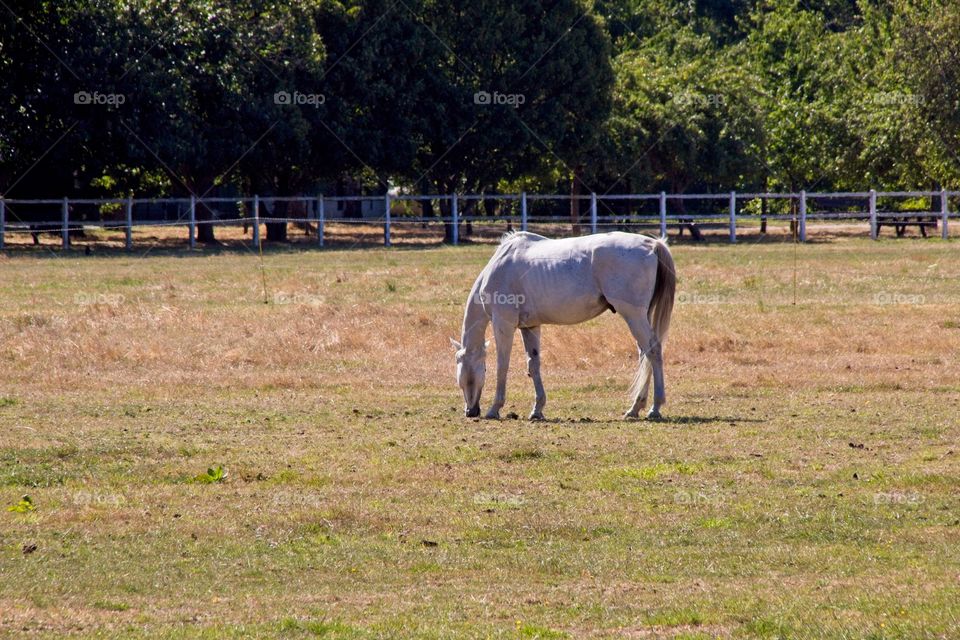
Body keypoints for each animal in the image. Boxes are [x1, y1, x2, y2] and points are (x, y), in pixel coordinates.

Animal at [451, 231, 676, 421]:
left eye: (465, 371)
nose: (470, 411)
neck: (500, 265)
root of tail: (651, 244)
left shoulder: (503, 323)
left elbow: (502, 366)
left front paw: (495, 408)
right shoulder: (530, 327)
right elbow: (533, 365)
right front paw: (537, 410)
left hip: (633, 316)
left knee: (653, 351)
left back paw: (654, 408)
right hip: (640, 316)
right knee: (644, 355)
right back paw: (636, 407)